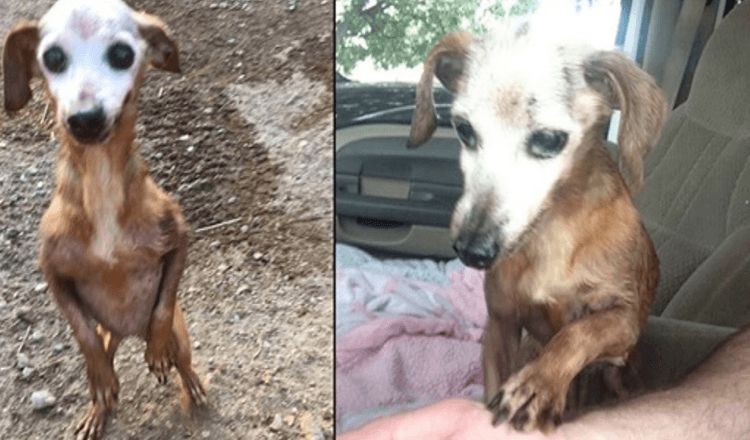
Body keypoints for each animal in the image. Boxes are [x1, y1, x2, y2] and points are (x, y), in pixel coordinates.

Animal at [3, 1, 209, 438]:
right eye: (52, 57)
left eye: (122, 54)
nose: (85, 119)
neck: (101, 184)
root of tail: (129, 331)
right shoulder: (52, 270)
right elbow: (82, 335)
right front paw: (99, 380)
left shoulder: (179, 237)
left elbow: (162, 307)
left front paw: (159, 352)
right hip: (107, 331)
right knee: (104, 355)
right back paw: (98, 407)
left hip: (182, 336)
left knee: (182, 360)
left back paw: (189, 383)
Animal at [408, 18, 668, 432]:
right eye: (463, 129)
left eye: (548, 139)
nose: (472, 251)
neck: (551, 230)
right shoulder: (501, 326)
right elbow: (496, 379)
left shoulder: (624, 320)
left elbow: (578, 333)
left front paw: (538, 384)